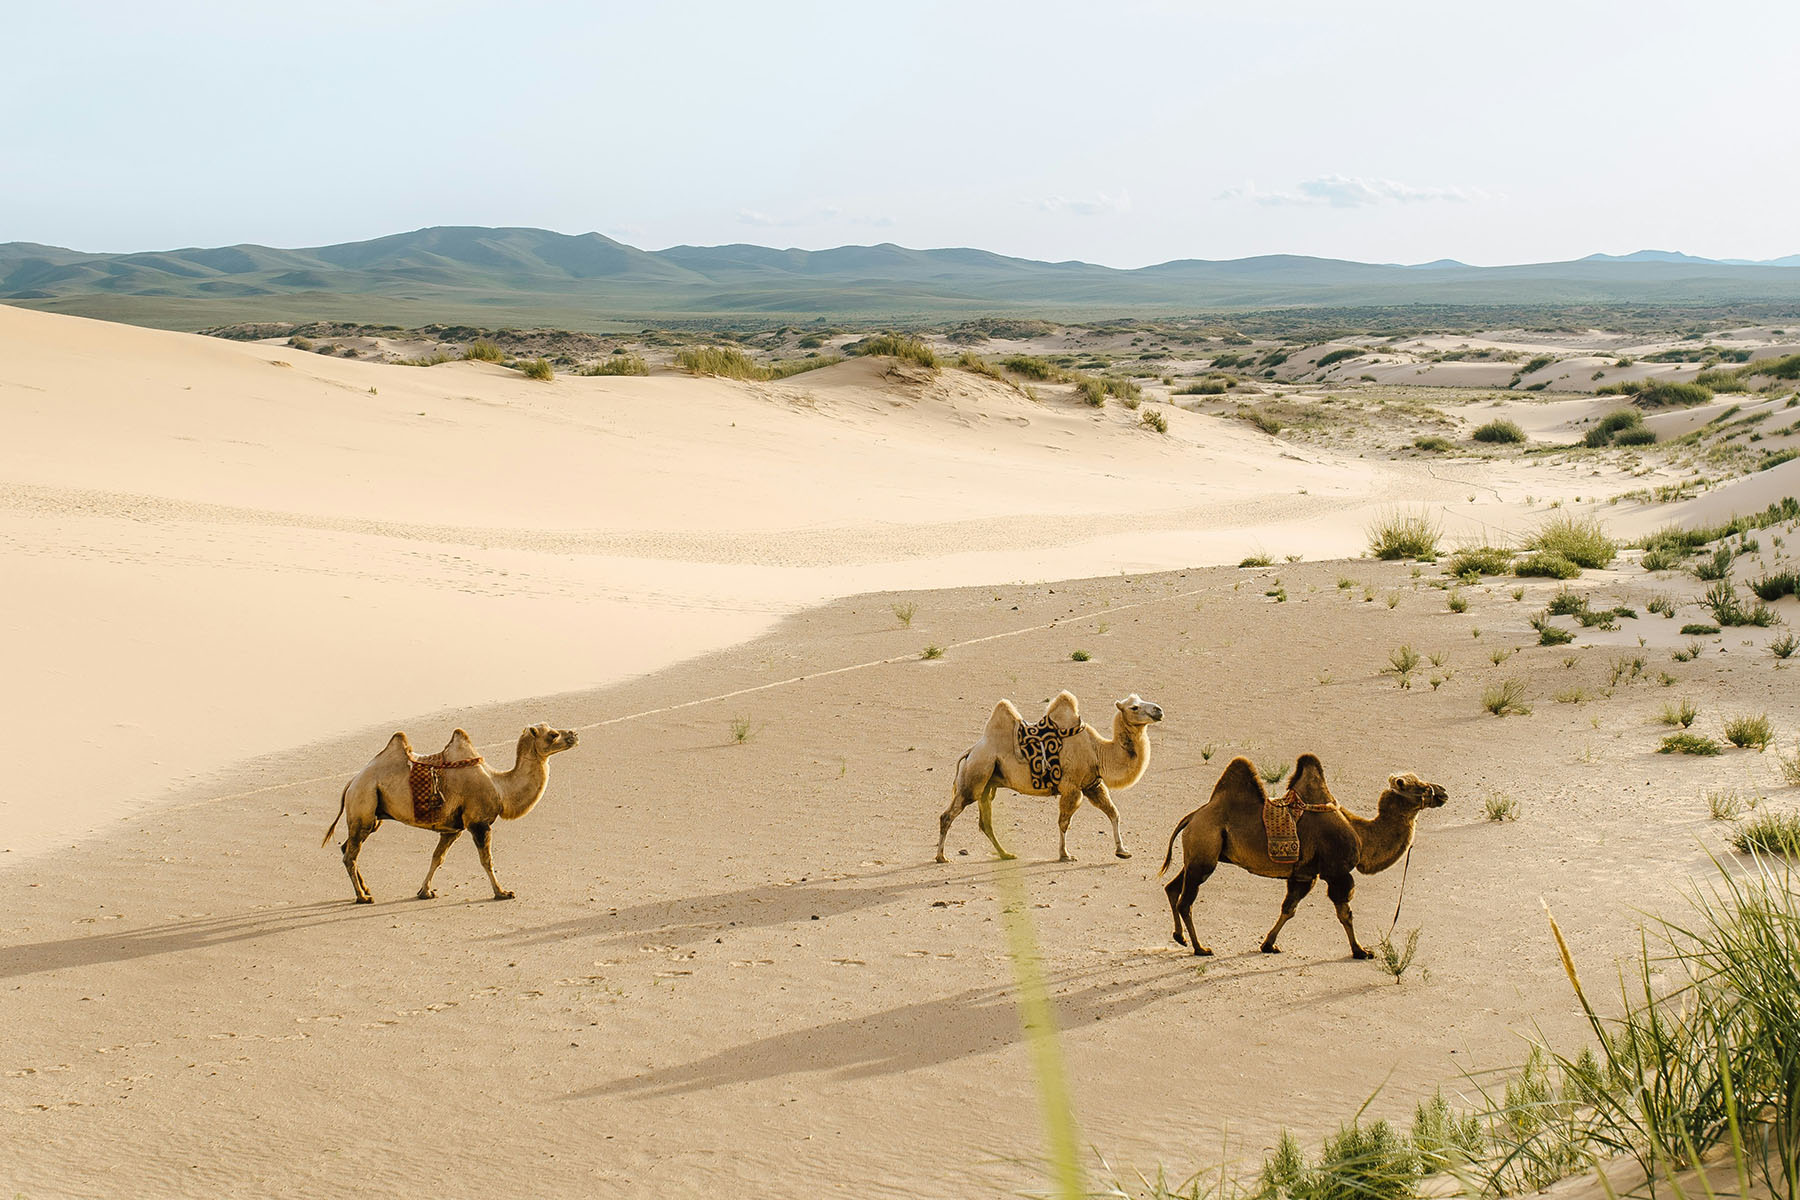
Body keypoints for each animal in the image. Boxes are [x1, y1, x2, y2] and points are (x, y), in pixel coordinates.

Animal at [322, 723, 578, 903]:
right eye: (552, 734)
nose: (574, 734)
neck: (499, 788)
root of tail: (351, 783)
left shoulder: (453, 829)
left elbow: (438, 857)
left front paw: (424, 891)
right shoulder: (478, 823)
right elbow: (487, 860)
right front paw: (502, 892)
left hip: (372, 814)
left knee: (347, 847)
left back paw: (365, 889)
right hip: (364, 803)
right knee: (350, 854)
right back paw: (362, 897)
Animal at [937, 691, 1164, 864]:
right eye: (1134, 707)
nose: (1158, 710)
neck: (1098, 751)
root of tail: (970, 752)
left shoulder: (1092, 784)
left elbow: (1113, 813)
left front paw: (1122, 851)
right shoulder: (1072, 788)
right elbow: (1064, 823)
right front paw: (1065, 854)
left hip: (987, 785)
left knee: (985, 823)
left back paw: (1006, 854)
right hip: (975, 776)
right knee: (948, 815)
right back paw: (941, 857)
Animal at [1159, 754, 1446, 959]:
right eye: (1419, 787)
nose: (1442, 791)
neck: (1361, 834)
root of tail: (1193, 816)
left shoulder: (1305, 874)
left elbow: (1289, 908)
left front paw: (1268, 944)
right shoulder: (1336, 872)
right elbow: (1345, 913)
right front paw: (1361, 951)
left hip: (1199, 855)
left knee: (1172, 887)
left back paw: (1180, 937)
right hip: (1204, 852)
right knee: (1186, 901)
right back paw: (1200, 948)